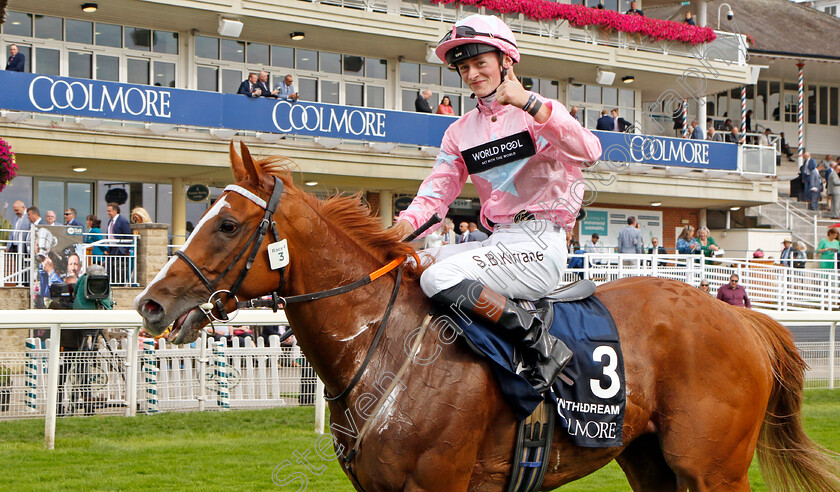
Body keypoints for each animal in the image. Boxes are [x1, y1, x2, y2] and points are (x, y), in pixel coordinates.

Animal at [135, 140, 836, 490]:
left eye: (227, 224)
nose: (150, 303)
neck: (387, 350)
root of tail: (739, 318)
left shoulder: (437, 487)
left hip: (714, 469)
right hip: (650, 463)